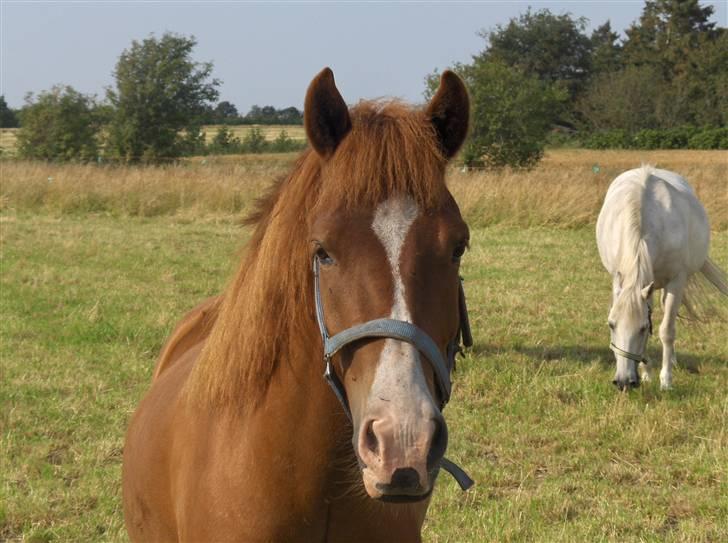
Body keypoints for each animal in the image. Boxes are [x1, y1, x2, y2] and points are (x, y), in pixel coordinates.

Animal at [596, 167, 728, 392]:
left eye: (641, 328)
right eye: (611, 325)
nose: (623, 382)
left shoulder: (676, 281)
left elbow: (666, 330)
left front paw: (666, 380)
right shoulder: (622, 281)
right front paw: (646, 374)